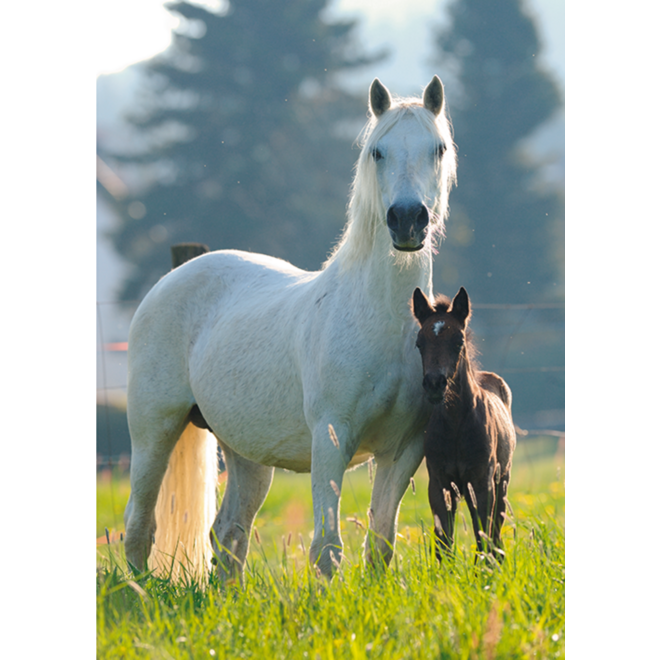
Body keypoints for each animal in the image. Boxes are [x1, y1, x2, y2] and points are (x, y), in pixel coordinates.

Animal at [123, 76, 457, 581]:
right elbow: (327, 548)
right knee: (140, 528)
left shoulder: (403, 449)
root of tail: (169, 281)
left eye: (437, 148)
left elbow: (380, 543)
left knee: (228, 534)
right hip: (153, 432)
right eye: (377, 152)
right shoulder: (332, 439)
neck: (377, 319)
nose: (406, 219)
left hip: (244, 452)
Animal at [411, 286, 516, 564]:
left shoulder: (481, 482)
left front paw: (486, 570)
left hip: (501, 481)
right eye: (419, 343)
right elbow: (443, 542)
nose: (434, 384)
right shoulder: (440, 484)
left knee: (495, 529)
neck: (455, 425)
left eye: (458, 341)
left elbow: (483, 534)